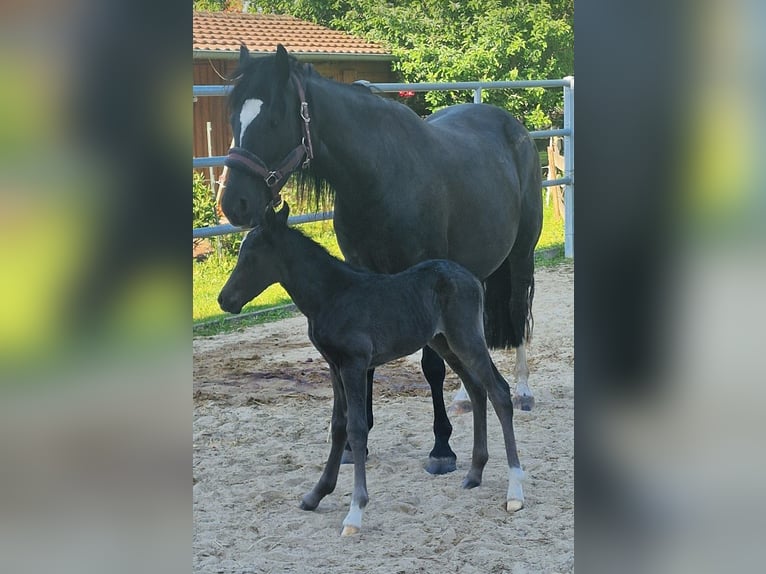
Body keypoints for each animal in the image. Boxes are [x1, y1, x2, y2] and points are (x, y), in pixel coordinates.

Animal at [219, 205, 524, 536]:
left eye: (251, 255)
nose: (224, 299)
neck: (332, 295)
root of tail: (471, 277)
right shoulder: (334, 365)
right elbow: (338, 426)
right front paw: (316, 494)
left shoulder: (354, 363)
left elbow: (356, 428)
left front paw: (355, 512)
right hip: (444, 343)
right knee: (477, 390)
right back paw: (475, 473)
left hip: (466, 338)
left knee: (499, 392)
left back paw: (515, 491)